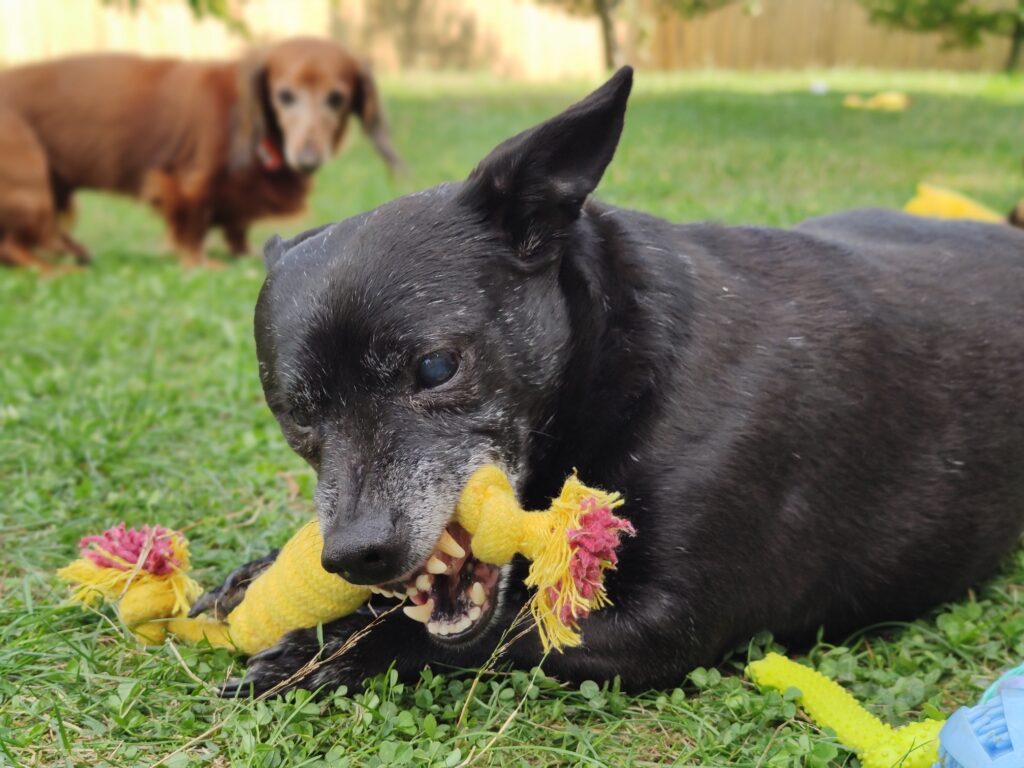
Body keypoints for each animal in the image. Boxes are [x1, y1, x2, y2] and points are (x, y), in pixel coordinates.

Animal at [0, 37, 400, 269]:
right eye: (285, 95)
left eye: (336, 98)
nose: (308, 159)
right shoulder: (187, 183)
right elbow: (192, 225)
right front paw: (200, 261)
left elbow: (237, 225)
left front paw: (244, 252)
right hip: (31, 181)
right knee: (12, 245)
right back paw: (51, 268)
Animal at [202, 67, 1024, 695]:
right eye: (296, 415)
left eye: (435, 368)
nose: (355, 555)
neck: (624, 370)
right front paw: (265, 576)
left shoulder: (665, 622)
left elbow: (482, 633)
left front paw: (329, 647)